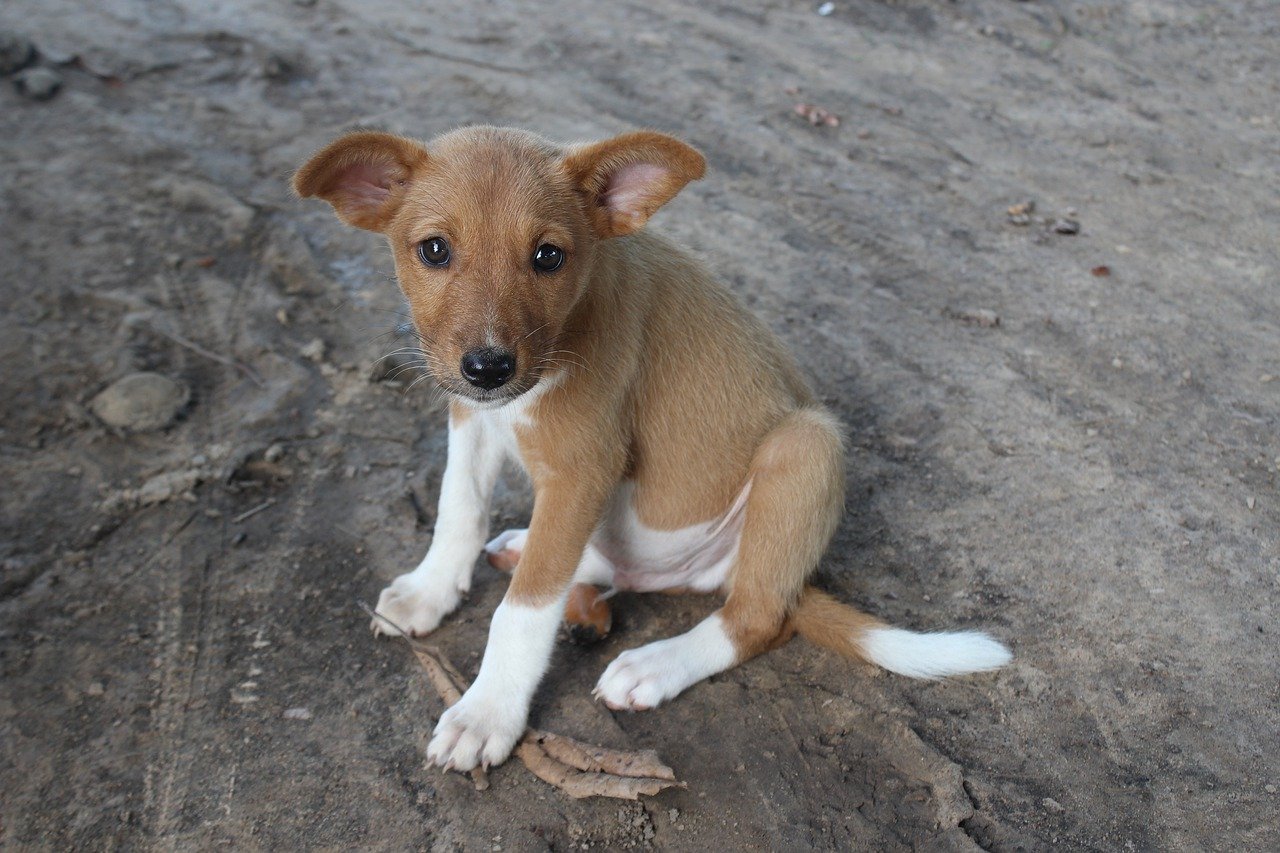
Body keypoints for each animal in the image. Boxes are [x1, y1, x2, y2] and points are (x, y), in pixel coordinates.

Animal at [294, 126, 1013, 768]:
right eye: (435, 250)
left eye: (548, 256)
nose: (489, 367)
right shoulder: (471, 417)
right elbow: (458, 509)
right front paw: (430, 590)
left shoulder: (583, 469)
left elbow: (523, 611)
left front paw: (487, 712)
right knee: (609, 566)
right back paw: (532, 549)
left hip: (807, 446)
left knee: (757, 616)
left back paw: (657, 663)